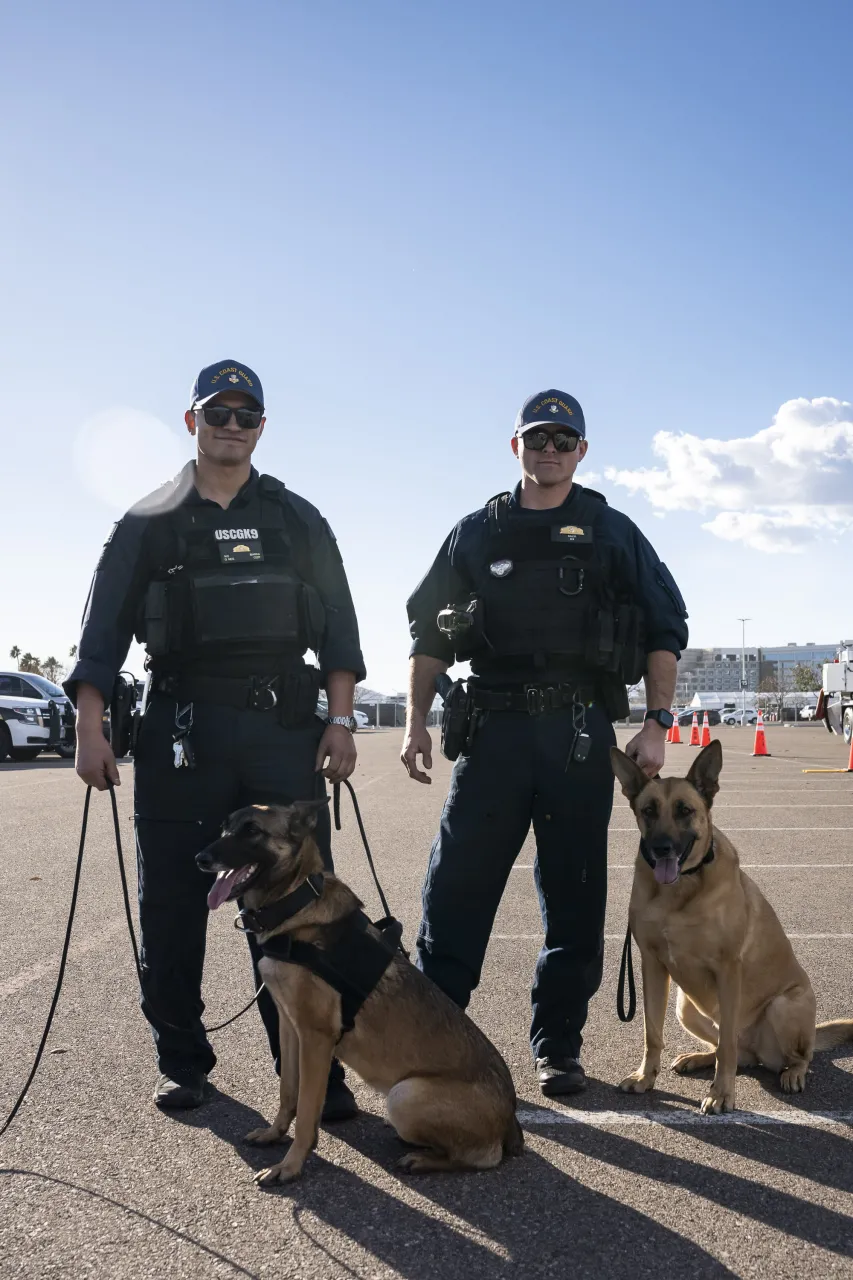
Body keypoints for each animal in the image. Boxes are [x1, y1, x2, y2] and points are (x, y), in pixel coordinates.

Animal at [195, 803, 522, 1182]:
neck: (295, 904)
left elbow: (307, 1110)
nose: (200, 858)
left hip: (404, 1094)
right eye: (225, 827)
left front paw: (290, 1166)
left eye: (251, 830)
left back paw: (422, 1160)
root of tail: (511, 1119)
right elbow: (288, 1091)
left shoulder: (316, 1038)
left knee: (480, 1158)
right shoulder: (290, 1028)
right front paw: (275, 1134)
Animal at [607, 742, 845, 1111]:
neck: (679, 891)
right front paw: (646, 1077)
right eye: (648, 810)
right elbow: (652, 1032)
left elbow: (727, 1049)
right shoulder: (652, 965)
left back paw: (792, 1073)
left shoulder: (728, 970)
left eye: (684, 810)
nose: (661, 848)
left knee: (792, 1056)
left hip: (782, 1006)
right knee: (736, 1052)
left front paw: (721, 1094)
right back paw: (697, 1057)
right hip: (685, 1006)